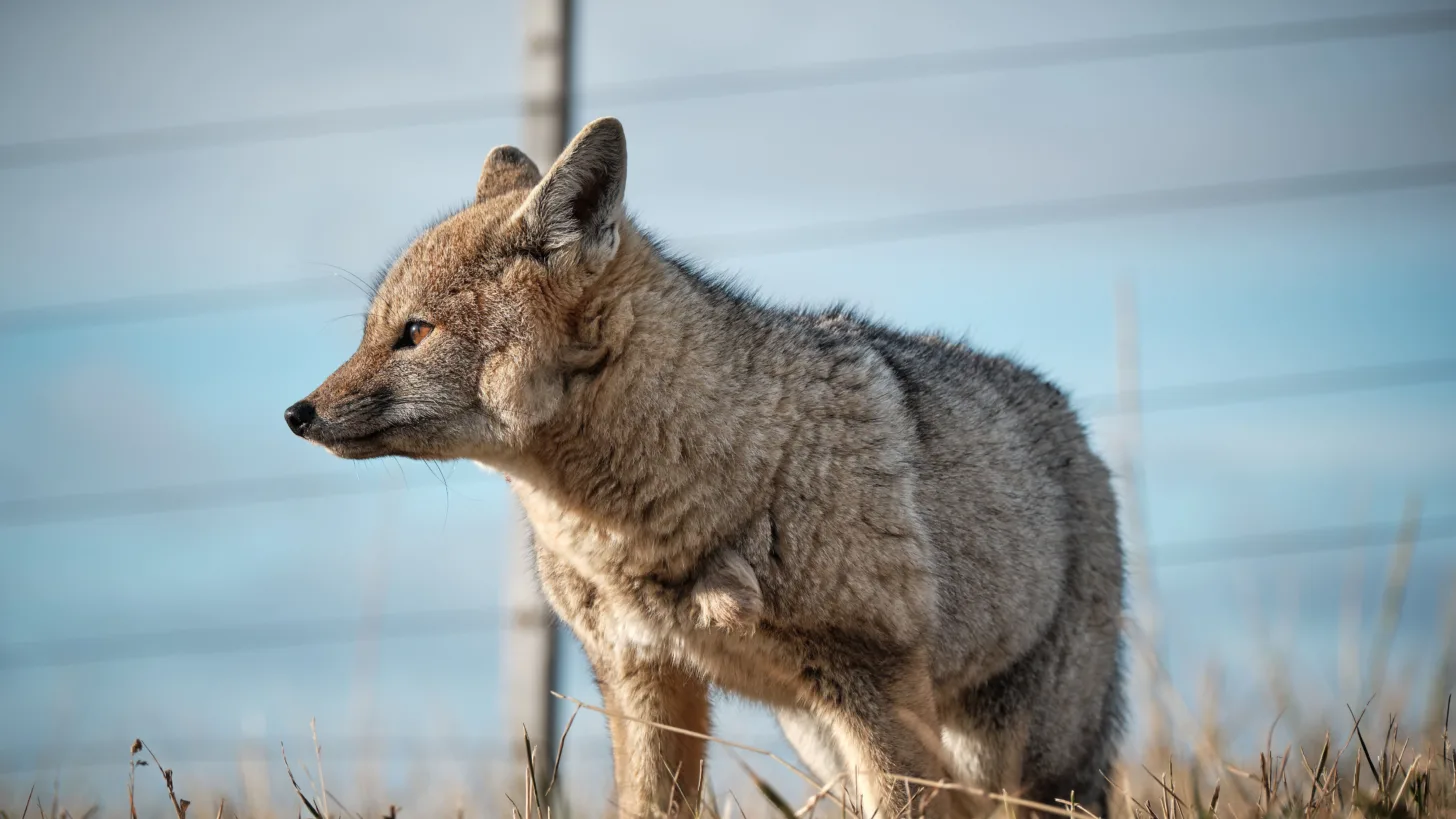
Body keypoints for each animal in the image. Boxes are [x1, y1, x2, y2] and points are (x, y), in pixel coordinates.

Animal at [283, 116, 1124, 816]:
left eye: (415, 332)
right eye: (372, 331)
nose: (297, 412)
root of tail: (1077, 425)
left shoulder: (874, 683)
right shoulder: (643, 679)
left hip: (1020, 763)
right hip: (825, 739)